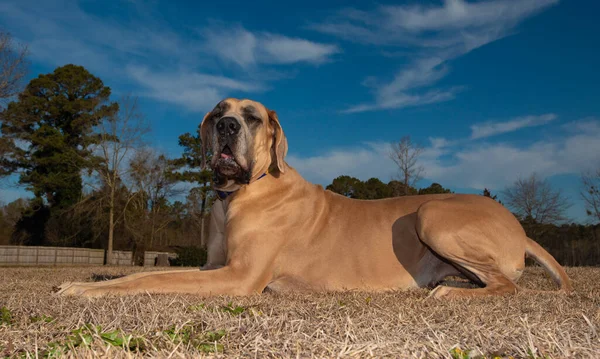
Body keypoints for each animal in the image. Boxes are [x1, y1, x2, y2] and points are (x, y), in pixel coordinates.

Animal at [56, 97, 572, 298]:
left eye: (253, 116)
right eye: (218, 112)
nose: (227, 127)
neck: (238, 193)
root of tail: (517, 223)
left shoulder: (238, 276)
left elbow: (155, 278)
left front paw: (83, 289)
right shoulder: (212, 266)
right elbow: (141, 273)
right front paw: (80, 282)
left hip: (431, 215)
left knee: (506, 286)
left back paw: (449, 291)